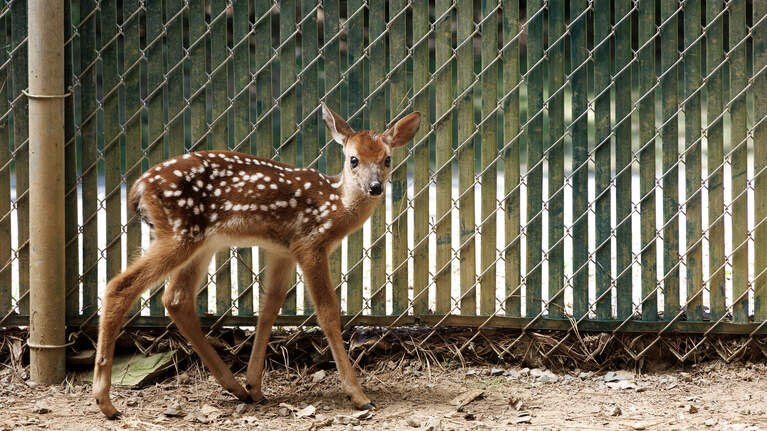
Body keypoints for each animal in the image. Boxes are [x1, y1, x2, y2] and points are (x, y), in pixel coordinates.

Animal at [91, 103, 421, 419]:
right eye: (353, 159)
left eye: (387, 159)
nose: (375, 186)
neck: (334, 206)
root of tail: (138, 189)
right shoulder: (310, 243)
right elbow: (327, 313)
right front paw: (359, 396)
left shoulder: (283, 250)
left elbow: (269, 308)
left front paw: (256, 386)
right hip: (179, 233)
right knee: (120, 286)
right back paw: (105, 402)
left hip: (202, 241)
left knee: (176, 297)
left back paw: (236, 387)